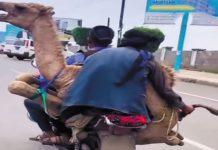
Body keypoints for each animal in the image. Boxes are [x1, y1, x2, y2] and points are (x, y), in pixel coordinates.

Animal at [0, 1, 216, 146]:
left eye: (21, 7)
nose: (2, 6)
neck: (65, 73)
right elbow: (22, 79)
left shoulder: (68, 101)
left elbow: (17, 85)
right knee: (176, 137)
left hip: (156, 127)